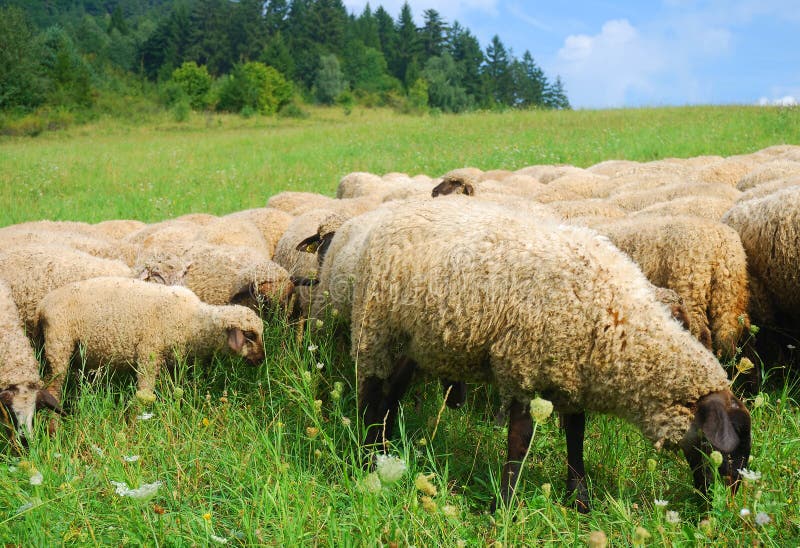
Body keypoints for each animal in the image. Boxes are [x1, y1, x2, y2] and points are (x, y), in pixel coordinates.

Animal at [36, 278, 266, 402]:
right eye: (250, 335)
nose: (262, 359)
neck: (192, 320)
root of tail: (43, 305)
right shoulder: (149, 353)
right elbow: (144, 394)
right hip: (59, 345)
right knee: (52, 388)